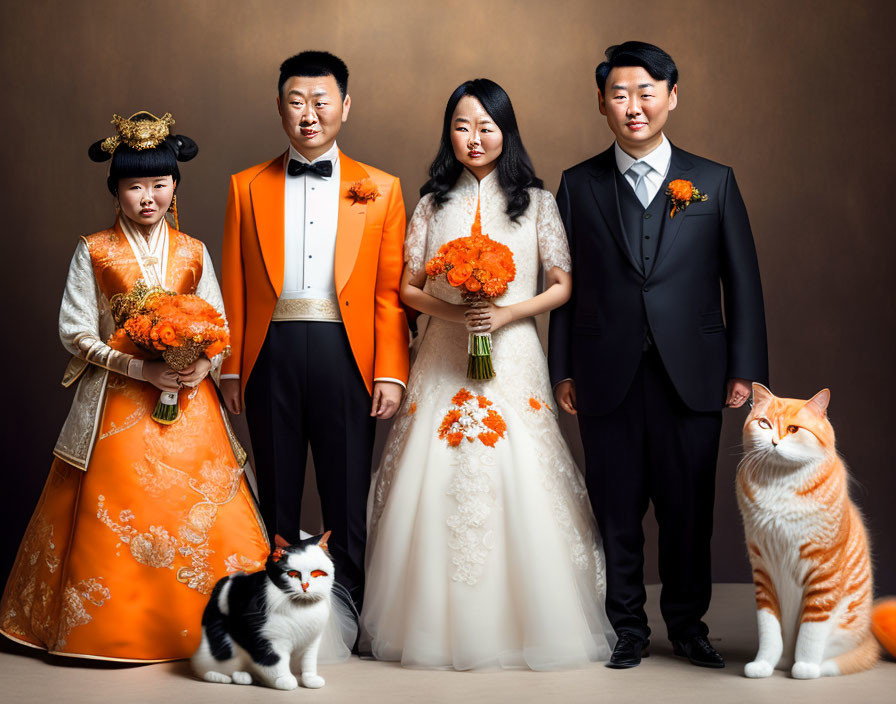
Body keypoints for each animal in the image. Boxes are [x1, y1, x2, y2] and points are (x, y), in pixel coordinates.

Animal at [191, 532, 342, 688]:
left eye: (317, 573)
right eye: (293, 574)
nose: (305, 586)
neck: (302, 607)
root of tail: (224, 582)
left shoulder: (311, 642)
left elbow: (309, 662)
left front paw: (310, 680)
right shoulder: (268, 638)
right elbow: (275, 661)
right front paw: (284, 680)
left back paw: (243, 677)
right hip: (220, 648)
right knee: (201, 668)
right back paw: (221, 677)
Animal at [740, 382, 880, 680]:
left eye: (793, 429)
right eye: (764, 423)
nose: (774, 442)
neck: (779, 485)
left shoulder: (824, 570)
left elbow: (810, 631)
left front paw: (804, 667)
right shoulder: (763, 570)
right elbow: (769, 629)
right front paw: (763, 665)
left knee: (839, 657)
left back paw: (815, 667)